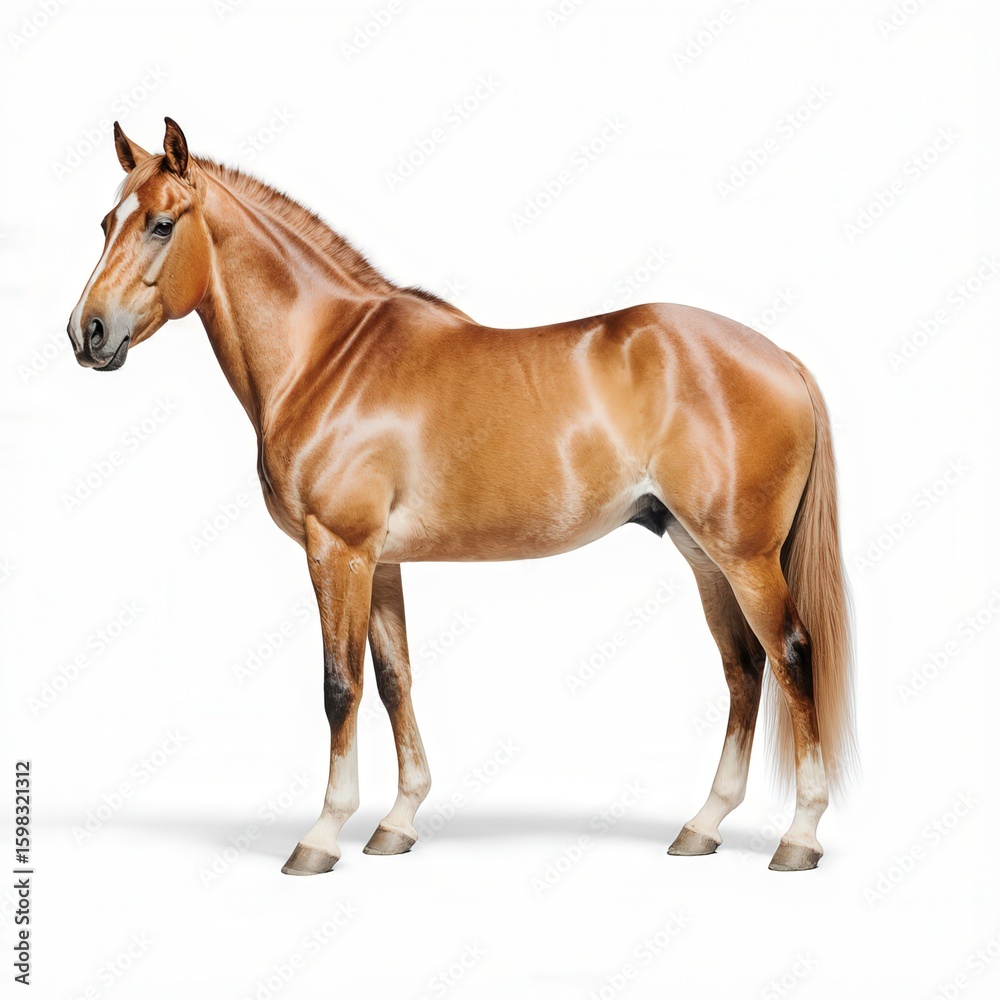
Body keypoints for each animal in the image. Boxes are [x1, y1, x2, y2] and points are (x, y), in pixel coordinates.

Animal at [67, 118, 856, 875]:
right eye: (106, 221)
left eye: (161, 223)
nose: (87, 333)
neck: (328, 358)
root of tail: (780, 357)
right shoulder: (378, 561)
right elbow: (394, 680)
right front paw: (397, 822)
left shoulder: (336, 551)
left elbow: (339, 686)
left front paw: (322, 836)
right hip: (701, 552)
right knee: (744, 669)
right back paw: (703, 826)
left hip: (744, 555)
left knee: (790, 655)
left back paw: (799, 837)